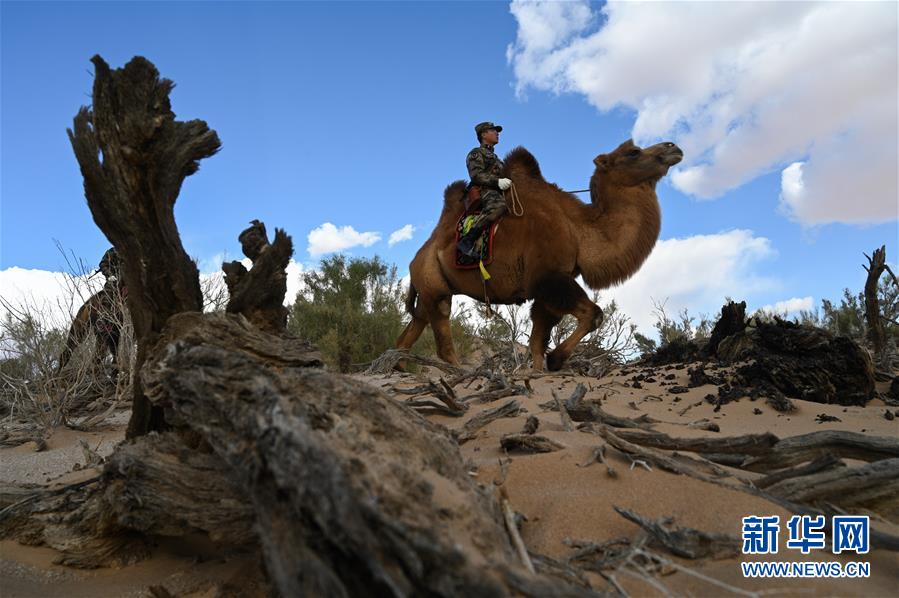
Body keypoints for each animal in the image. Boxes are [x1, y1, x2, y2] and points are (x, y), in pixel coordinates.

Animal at [398, 139, 684, 370]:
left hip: (429, 289)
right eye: (633, 152)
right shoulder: (549, 277)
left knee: (411, 330)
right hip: (433, 284)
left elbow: (538, 340)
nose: (673, 147)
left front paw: (538, 372)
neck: (578, 228)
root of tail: (416, 259)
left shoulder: (547, 286)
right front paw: (556, 359)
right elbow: (593, 315)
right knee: (443, 336)